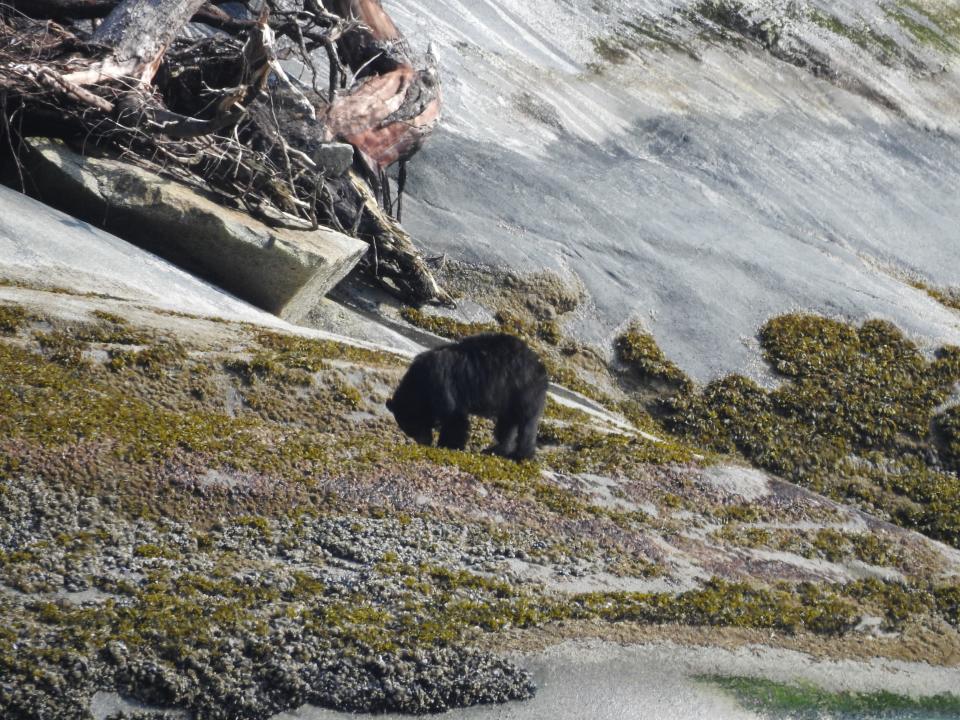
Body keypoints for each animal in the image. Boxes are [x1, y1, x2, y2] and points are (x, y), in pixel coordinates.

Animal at [384, 334, 548, 462]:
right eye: (409, 430)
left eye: (413, 427)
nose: (425, 442)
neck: (419, 383)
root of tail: (541, 368)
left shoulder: (442, 383)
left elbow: (454, 417)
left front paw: (448, 444)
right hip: (509, 398)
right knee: (507, 425)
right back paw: (496, 450)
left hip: (523, 391)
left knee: (526, 423)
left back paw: (521, 455)